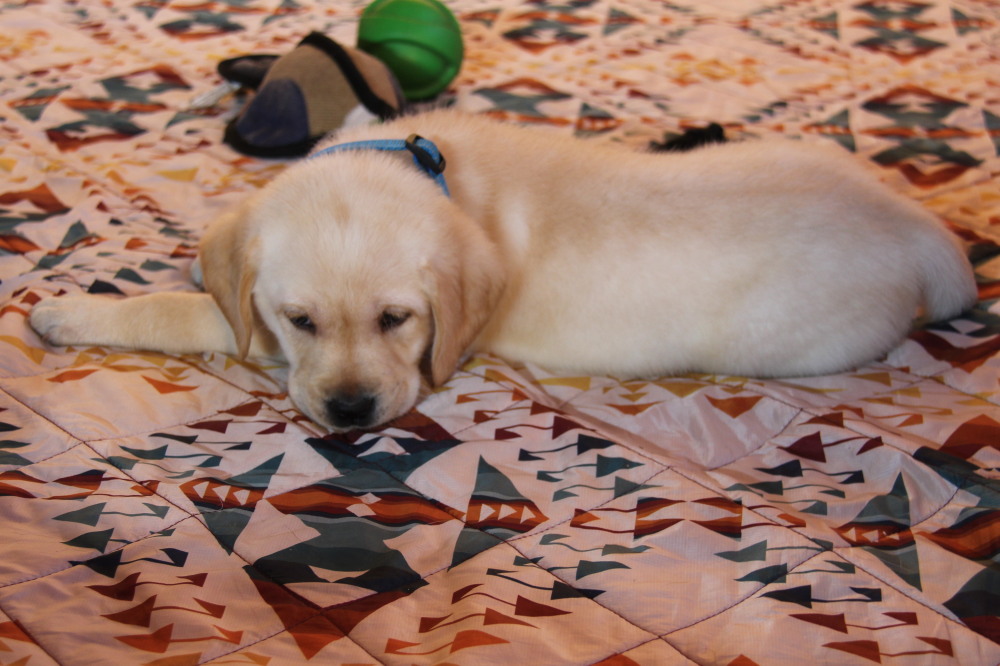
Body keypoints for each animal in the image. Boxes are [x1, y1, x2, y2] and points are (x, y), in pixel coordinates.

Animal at [29, 109, 976, 430]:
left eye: (397, 319)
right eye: (305, 320)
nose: (349, 413)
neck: (429, 170)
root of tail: (925, 233)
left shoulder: (257, 342)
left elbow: (185, 312)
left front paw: (66, 309)